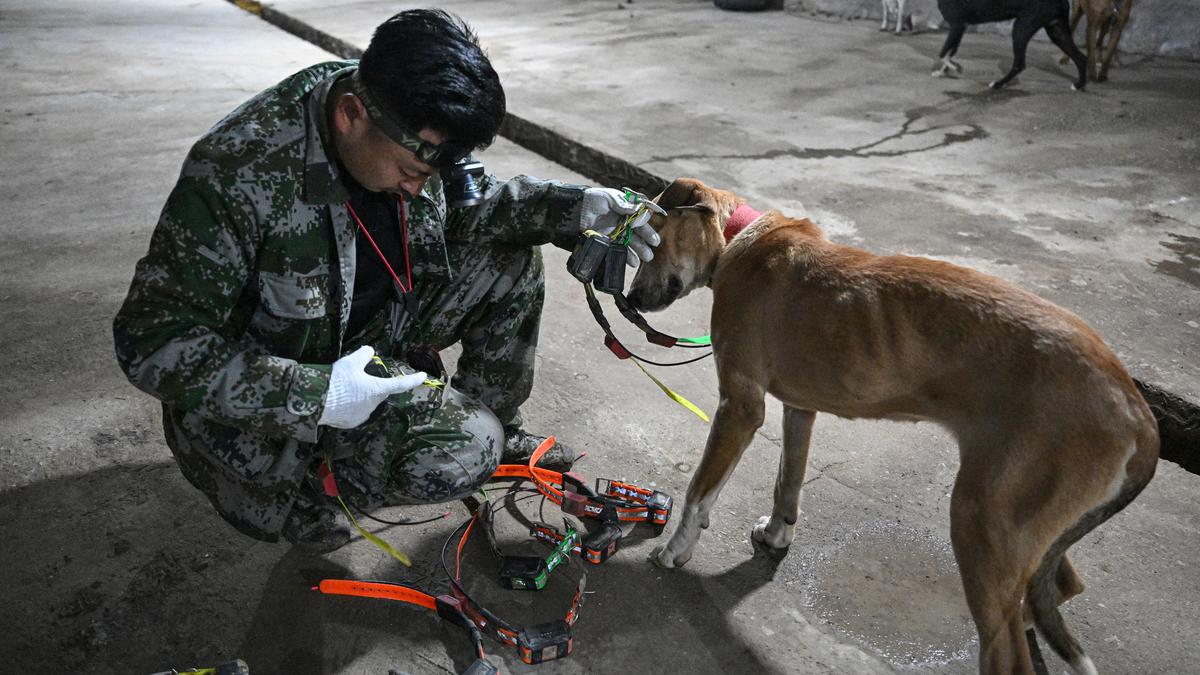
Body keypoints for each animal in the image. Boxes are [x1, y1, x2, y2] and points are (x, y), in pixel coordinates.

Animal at [633, 176, 1156, 667]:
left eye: (652, 239)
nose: (632, 297)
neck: (737, 239)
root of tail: (1136, 408)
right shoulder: (799, 408)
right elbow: (789, 477)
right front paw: (778, 534)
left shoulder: (739, 407)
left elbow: (699, 492)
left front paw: (676, 549)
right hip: (1029, 528)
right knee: (1062, 587)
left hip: (985, 519)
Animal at [931, 0, 1094, 90]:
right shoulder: (960, 28)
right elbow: (950, 51)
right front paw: (943, 71)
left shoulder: (957, 26)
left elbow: (943, 52)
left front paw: (955, 67)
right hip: (1057, 31)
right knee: (1081, 58)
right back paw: (1079, 85)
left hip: (1020, 28)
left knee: (1019, 64)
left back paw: (998, 84)